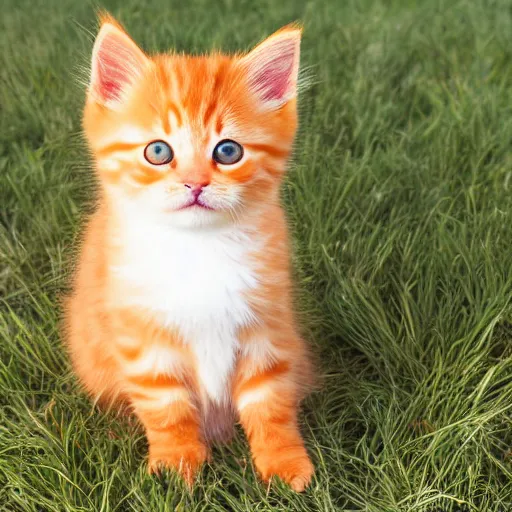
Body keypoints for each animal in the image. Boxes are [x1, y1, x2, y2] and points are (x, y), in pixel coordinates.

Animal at [66, 13, 314, 492]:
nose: (195, 184)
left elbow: (270, 404)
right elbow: (167, 409)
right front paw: (175, 466)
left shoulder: (268, 327)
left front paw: (284, 463)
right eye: (158, 151)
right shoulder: (142, 337)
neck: (199, 250)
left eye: (228, 151)